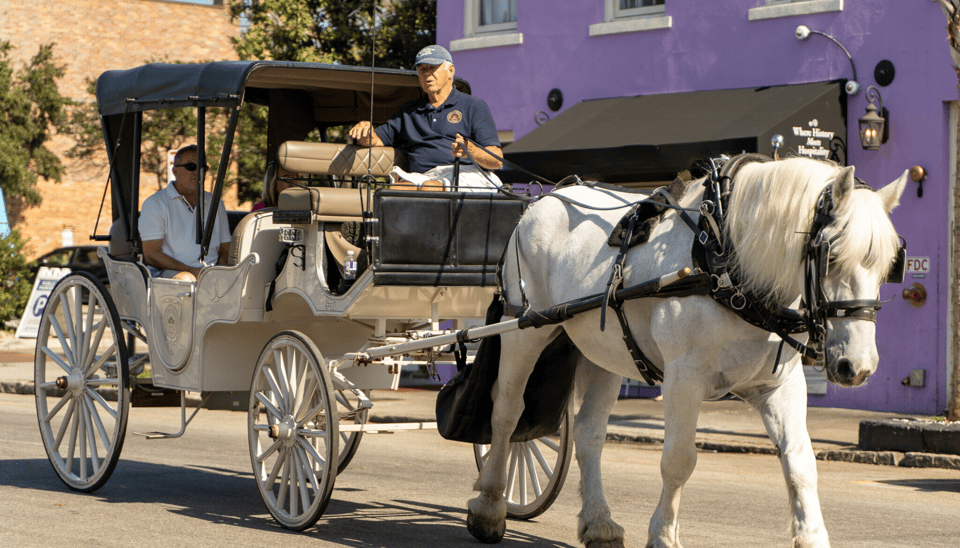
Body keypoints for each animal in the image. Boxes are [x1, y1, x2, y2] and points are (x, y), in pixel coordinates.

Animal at [464, 157, 908, 548]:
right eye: (831, 256)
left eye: (890, 264)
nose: (857, 367)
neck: (725, 264)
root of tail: (545, 198)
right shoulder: (684, 379)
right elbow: (678, 461)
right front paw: (663, 535)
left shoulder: (780, 386)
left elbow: (800, 463)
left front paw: (812, 535)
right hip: (524, 330)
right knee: (507, 414)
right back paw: (490, 506)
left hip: (604, 351)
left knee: (589, 433)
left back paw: (599, 522)